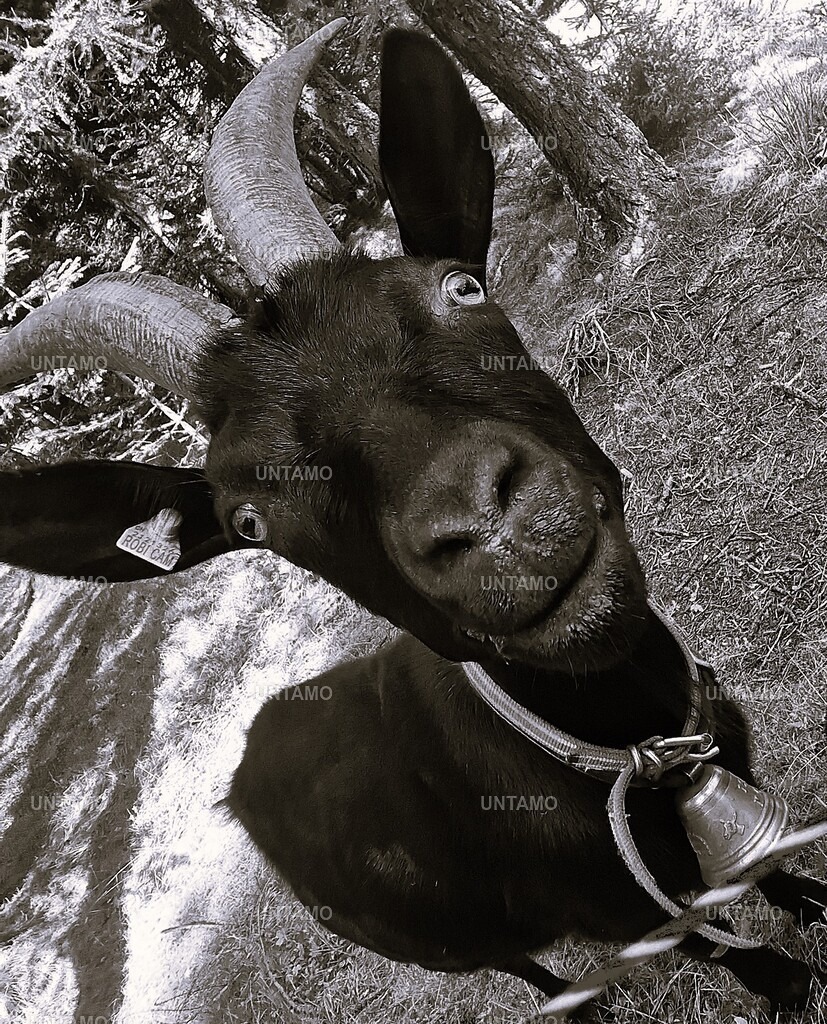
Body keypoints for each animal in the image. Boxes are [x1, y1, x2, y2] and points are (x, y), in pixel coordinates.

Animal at [0, 19, 824, 1016]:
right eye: (249, 521)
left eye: (461, 288)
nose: (484, 520)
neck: (632, 741)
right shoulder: (631, 909)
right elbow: (727, 947)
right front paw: (785, 978)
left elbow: (773, 872)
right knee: (510, 961)